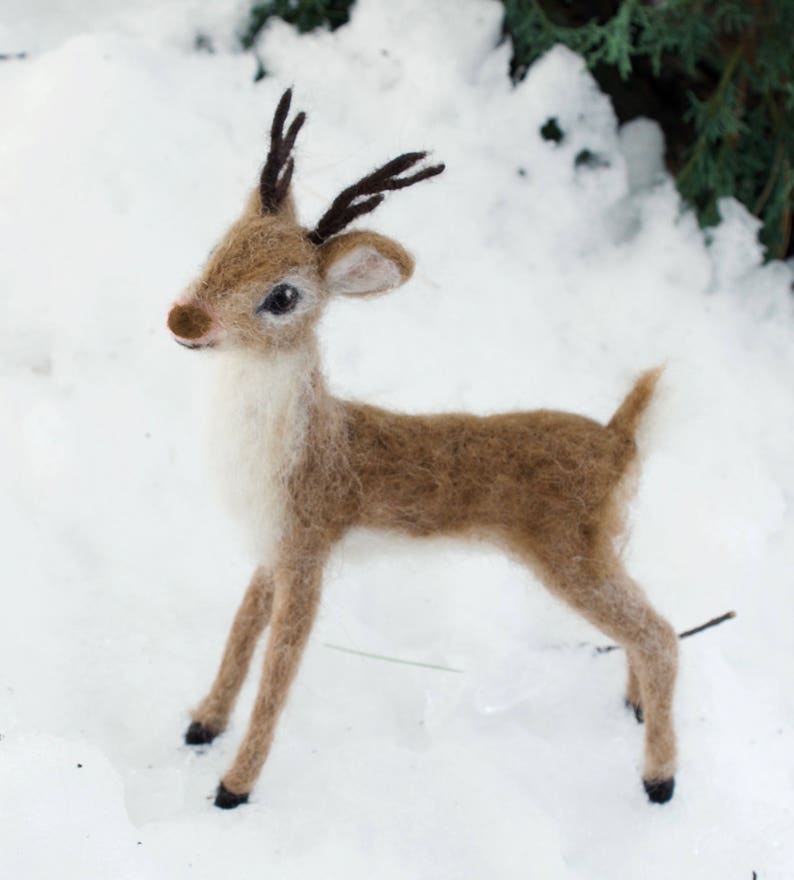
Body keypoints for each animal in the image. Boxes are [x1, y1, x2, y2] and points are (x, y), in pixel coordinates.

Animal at [166, 91, 676, 812]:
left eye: (283, 296)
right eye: (220, 248)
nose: (185, 320)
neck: (286, 455)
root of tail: (619, 435)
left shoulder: (309, 547)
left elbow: (280, 668)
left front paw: (233, 788)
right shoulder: (272, 551)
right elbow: (240, 636)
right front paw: (202, 725)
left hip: (571, 554)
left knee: (661, 635)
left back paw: (660, 781)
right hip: (602, 548)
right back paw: (632, 709)